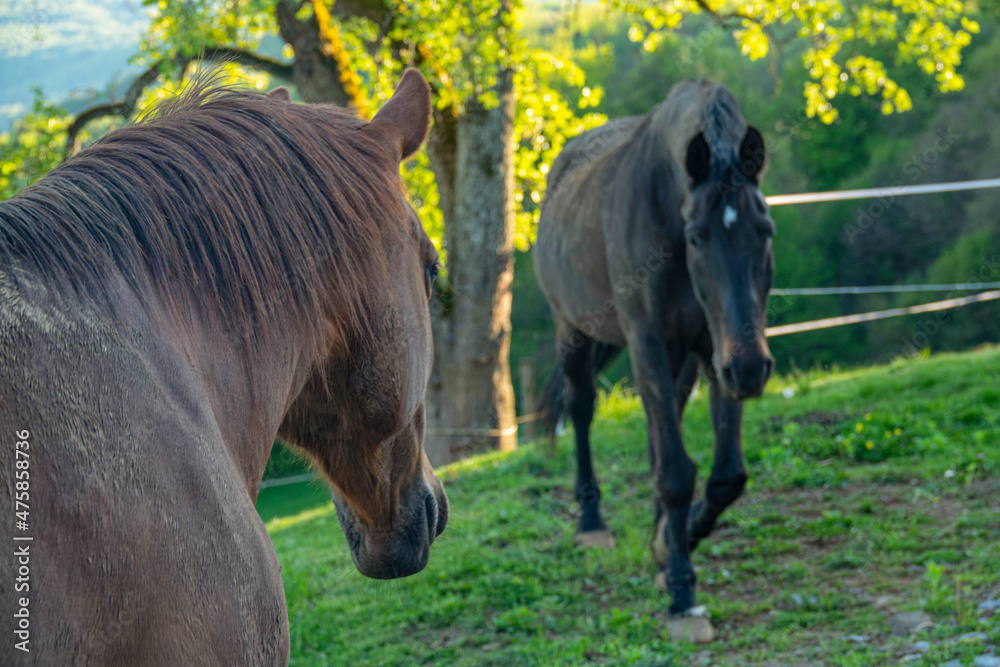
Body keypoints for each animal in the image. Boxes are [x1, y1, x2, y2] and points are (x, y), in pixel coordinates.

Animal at [536, 81, 776, 628]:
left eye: (765, 230)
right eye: (696, 237)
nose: (752, 368)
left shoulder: (716, 351)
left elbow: (725, 476)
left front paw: (671, 542)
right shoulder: (650, 342)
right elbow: (676, 473)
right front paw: (683, 592)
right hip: (572, 332)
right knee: (581, 409)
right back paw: (591, 522)